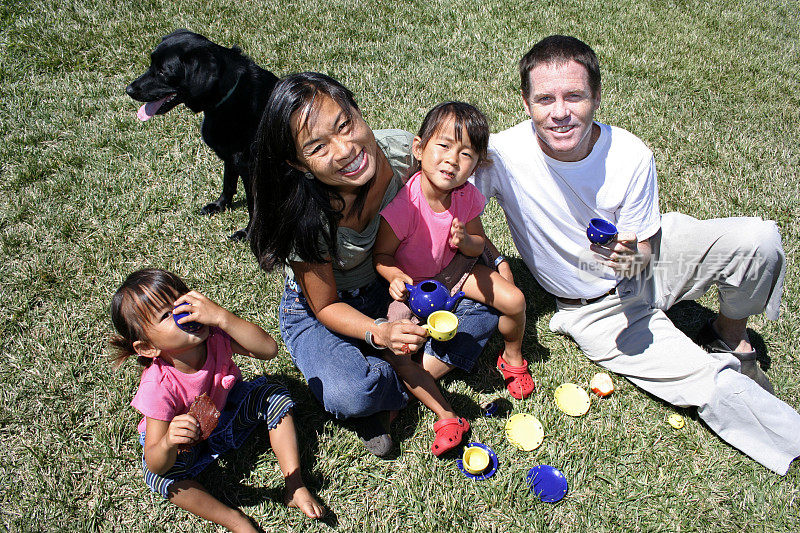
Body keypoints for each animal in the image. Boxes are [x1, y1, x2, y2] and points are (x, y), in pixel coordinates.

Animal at [124, 27, 276, 239]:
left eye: (163, 71)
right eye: (151, 63)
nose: (129, 89)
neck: (229, 96)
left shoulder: (250, 167)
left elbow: (253, 205)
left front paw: (248, 233)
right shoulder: (231, 157)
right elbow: (228, 183)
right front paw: (220, 206)